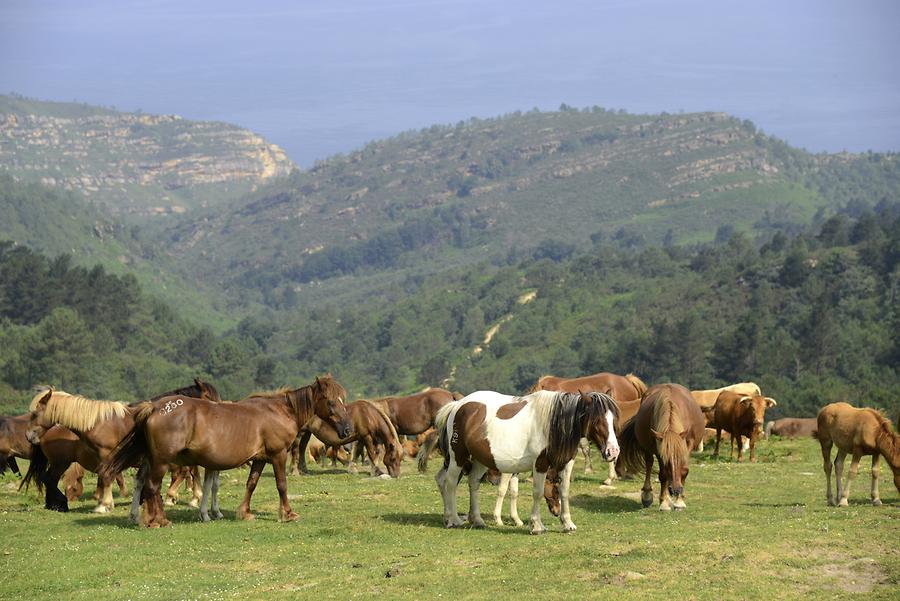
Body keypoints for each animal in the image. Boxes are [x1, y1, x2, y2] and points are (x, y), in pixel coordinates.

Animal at [100, 378, 348, 528]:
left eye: (343, 400)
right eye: (331, 401)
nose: (346, 430)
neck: (280, 411)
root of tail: (156, 407)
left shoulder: (260, 459)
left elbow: (251, 484)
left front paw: (245, 512)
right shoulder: (277, 455)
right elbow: (281, 485)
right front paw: (288, 513)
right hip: (161, 461)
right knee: (152, 487)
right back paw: (158, 521)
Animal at [422, 390, 620, 536]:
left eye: (613, 419)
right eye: (597, 420)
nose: (613, 451)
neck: (554, 425)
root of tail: (457, 405)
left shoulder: (566, 463)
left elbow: (565, 491)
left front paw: (567, 523)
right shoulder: (540, 464)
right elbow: (537, 493)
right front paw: (536, 525)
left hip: (480, 460)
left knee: (473, 483)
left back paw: (477, 520)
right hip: (458, 457)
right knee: (450, 483)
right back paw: (452, 519)